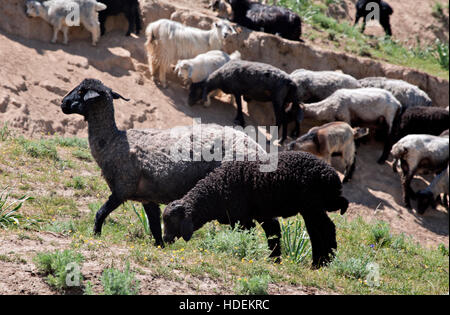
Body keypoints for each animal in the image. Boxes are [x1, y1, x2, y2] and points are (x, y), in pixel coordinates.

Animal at [62, 78, 268, 247]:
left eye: (81, 91)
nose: (63, 103)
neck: (113, 141)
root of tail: (259, 149)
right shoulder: (147, 197)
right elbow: (154, 226)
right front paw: (159, 246)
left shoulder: (122, 189)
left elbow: (100, 213)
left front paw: (95, 235)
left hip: (232, 191)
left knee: (246, 226)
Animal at [163, 152, 350, 270]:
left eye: (172, 221)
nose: (164, 240)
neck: (215, 191)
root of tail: (332, 175)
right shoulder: (263, 215)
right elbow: (273, 235)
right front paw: (275, 261)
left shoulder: (242, 219)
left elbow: (249, 237)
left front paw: (249, 255)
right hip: (313, 208)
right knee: (321, 231)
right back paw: (323, 262)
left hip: (312, 207)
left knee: (324, 230)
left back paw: (320, 264)